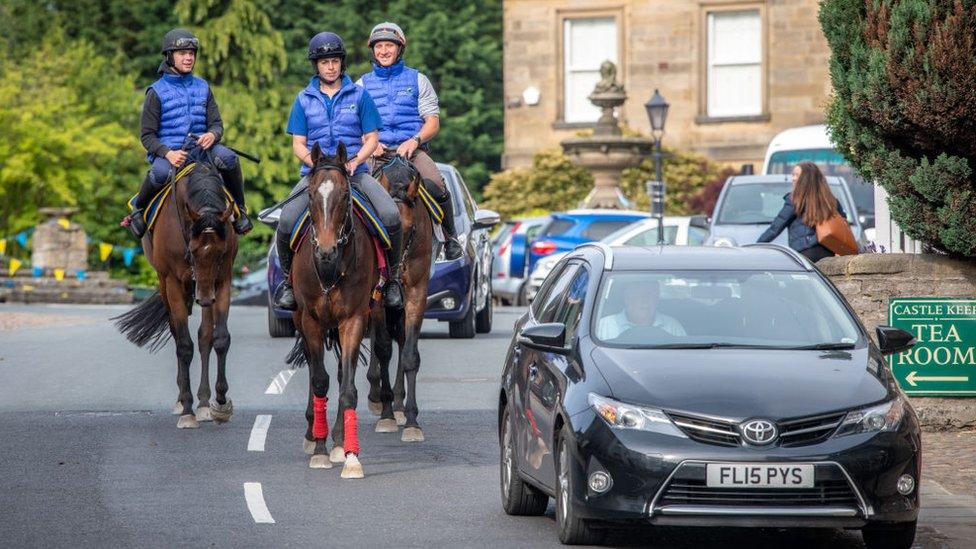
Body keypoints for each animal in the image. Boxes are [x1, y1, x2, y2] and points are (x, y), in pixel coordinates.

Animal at [111, 146, 238, 428]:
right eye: (192, 249)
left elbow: (220, 338)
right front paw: (187, 409)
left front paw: (220, 402)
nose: (206, 297)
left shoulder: (222, 280)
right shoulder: (174, 282)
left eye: (221, 252)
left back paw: (204, 403)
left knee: (204, 336)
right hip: (168, 282)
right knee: (177, 332)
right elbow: (183, 345)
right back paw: (184, 401)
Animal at [286, 143, 378, 478]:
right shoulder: (311, 321)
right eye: (312, 194)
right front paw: (320, 450)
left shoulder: (353, 320)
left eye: (344, 194)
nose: (326, 251)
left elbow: (347, 386)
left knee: (339, 375)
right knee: (317, 374)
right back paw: (313, 433)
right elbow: (319, 381)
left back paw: (337, 441)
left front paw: (349, 455)